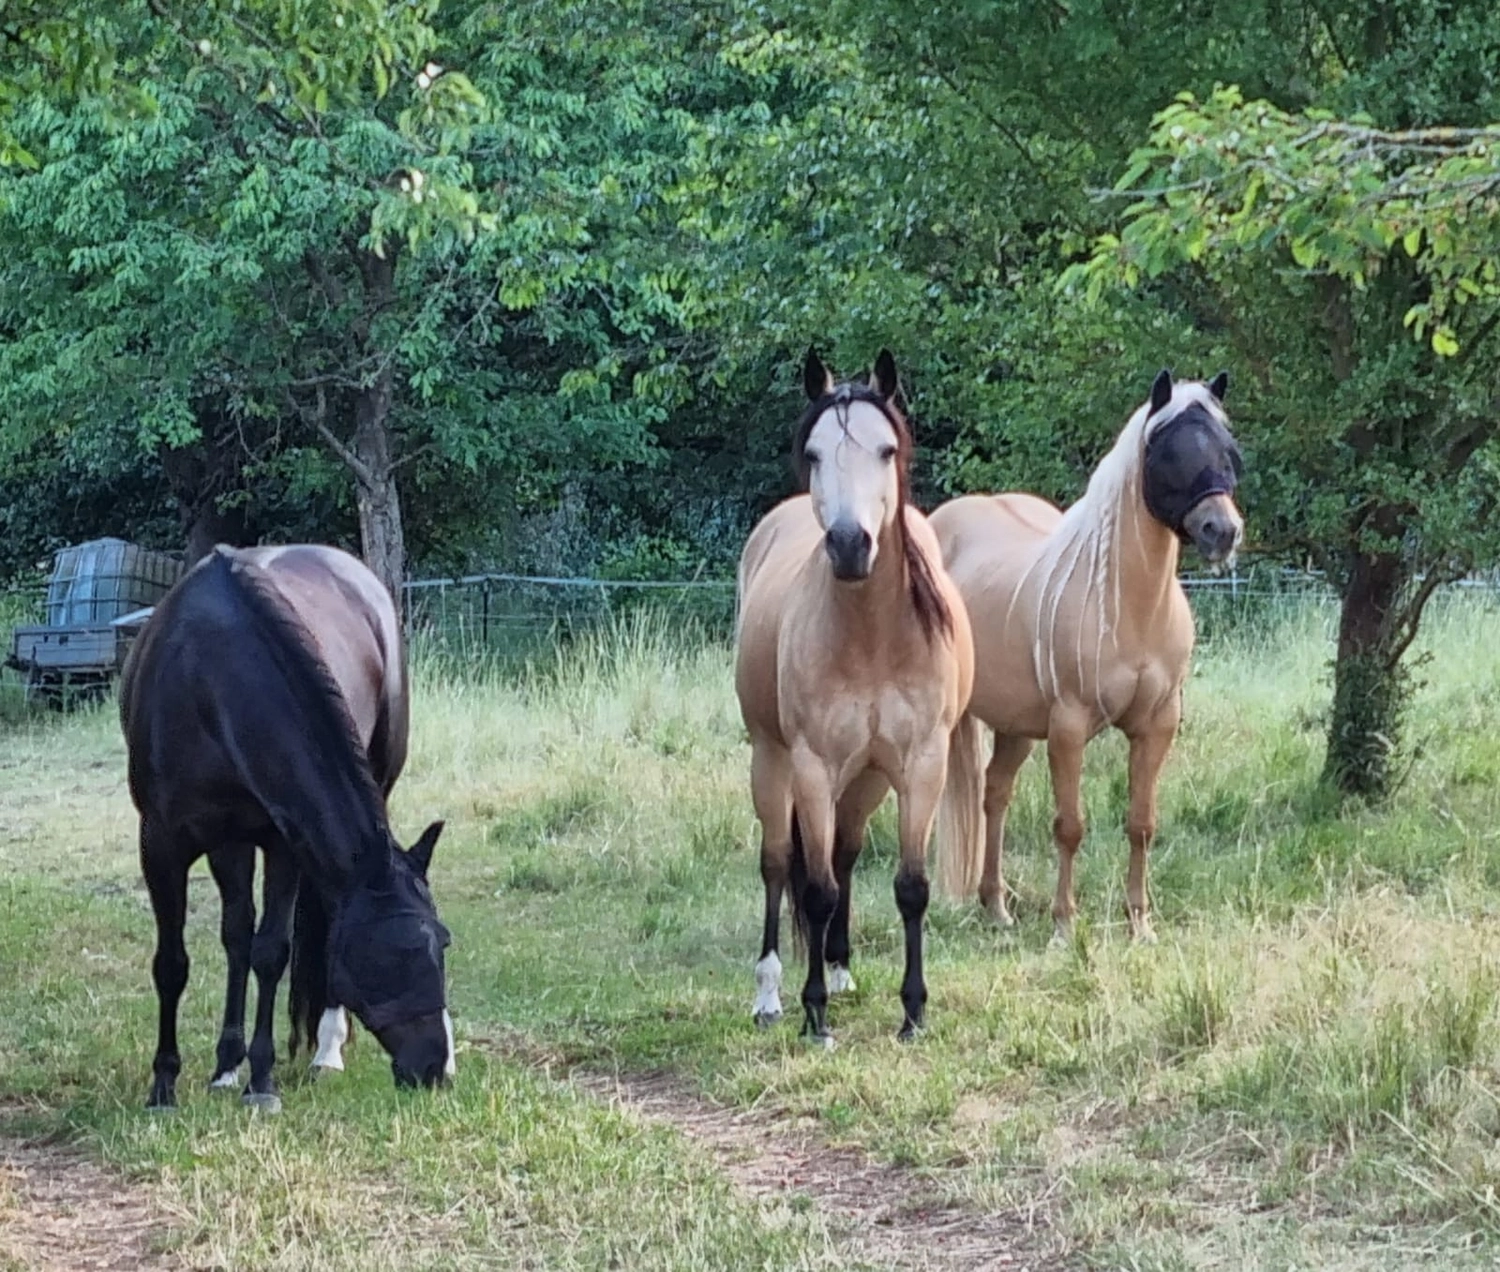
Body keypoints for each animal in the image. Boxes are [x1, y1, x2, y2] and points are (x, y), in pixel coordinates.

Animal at [120, 544, 455, 1110]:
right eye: (394, 954)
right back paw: (225, 1064)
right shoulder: (163, 843)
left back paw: (326, 1049)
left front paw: (262, 1081)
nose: (438, 1069)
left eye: (443, 944)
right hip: (228, 839)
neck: (209, 675)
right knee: (236, 931)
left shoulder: (283, 842)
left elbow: (271, 952)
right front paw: (165, 1085)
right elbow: (174, 962)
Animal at [734, 348, 974, 1045]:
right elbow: (812, 890)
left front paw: (913, 1012)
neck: (872, 639)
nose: (848, 545)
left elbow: (909, 887)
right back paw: (771, 994)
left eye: (886, 449)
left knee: (842, 853)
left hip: (866, 776)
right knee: (778, 863)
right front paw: (814, 1015)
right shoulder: (812, 766)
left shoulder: (922, 764)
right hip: (771, 760)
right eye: (814, 454)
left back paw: (841, 968)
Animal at [931, 369, 1244, 943]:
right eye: (1167, 452)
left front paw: (1141, 924)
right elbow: (1069, 827)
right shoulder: (1070, 727)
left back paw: (997, 907)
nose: (1222, 532)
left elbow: (1141, 824)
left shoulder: (1157, 725)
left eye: (1228, 449)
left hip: (1015, 724)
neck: (1124, 604)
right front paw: (1063, 926)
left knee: (995, 793)